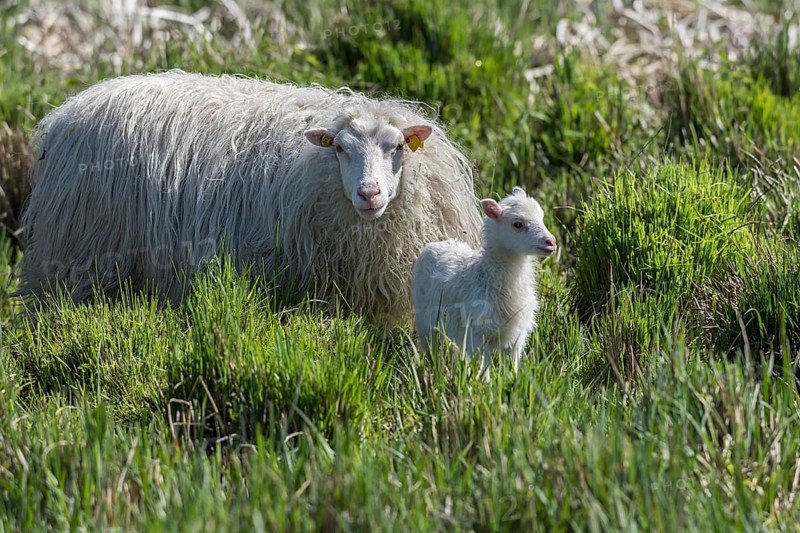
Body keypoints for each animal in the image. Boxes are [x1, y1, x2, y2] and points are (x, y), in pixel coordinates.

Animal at [412, 186, 556, 373]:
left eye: (542, 217)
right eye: (518, 224)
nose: (551, 242)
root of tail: (437, 243)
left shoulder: (517, 336)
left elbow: (513, 369)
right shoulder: (478, 335)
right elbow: (483, 371)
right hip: (425, 321)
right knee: (431, 349)